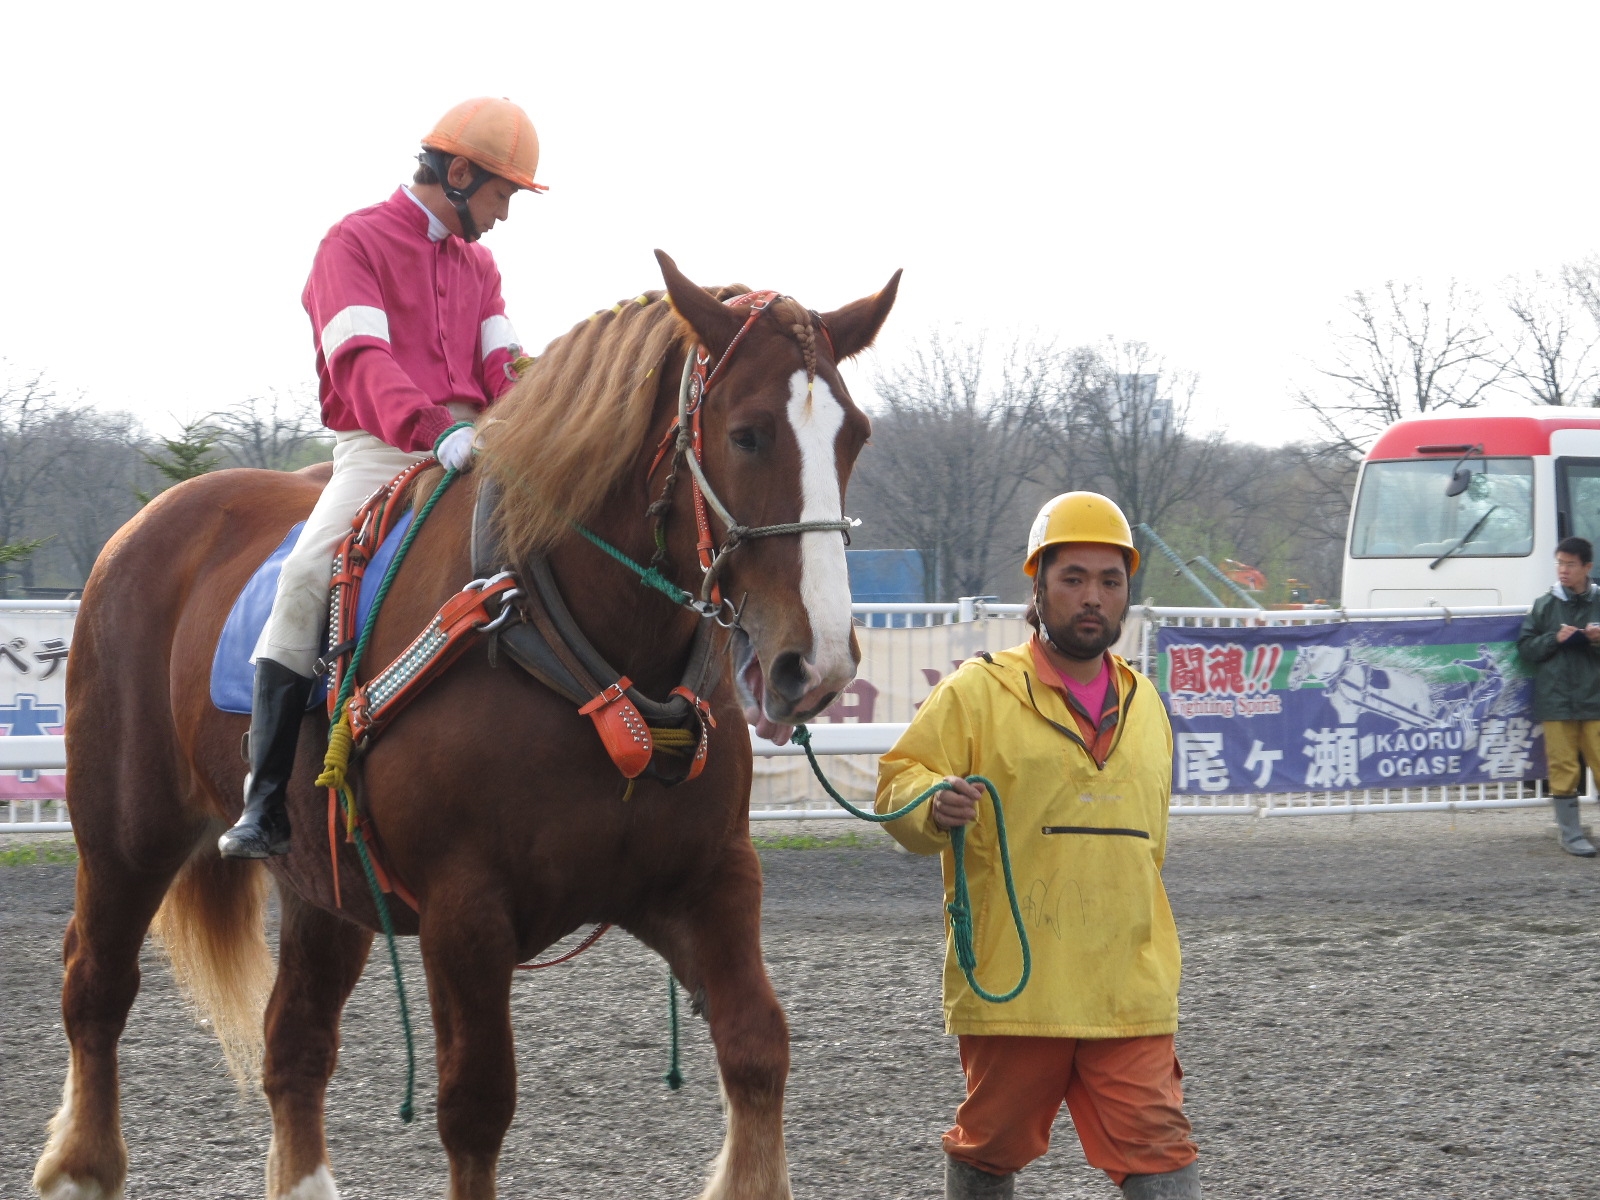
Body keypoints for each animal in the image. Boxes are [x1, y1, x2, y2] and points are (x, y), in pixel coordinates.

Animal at [32, 250, 900, 1200]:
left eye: (855, 436)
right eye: (746, 434)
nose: (816, 664)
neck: (577, 646)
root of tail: (141, 531)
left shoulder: (706, 883)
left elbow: (756, 1048)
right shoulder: (465, 917)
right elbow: (477, 1107)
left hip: (324, 883)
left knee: (294, 1043)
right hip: (127, 836)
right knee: (96, 988)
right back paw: (82, 1166)